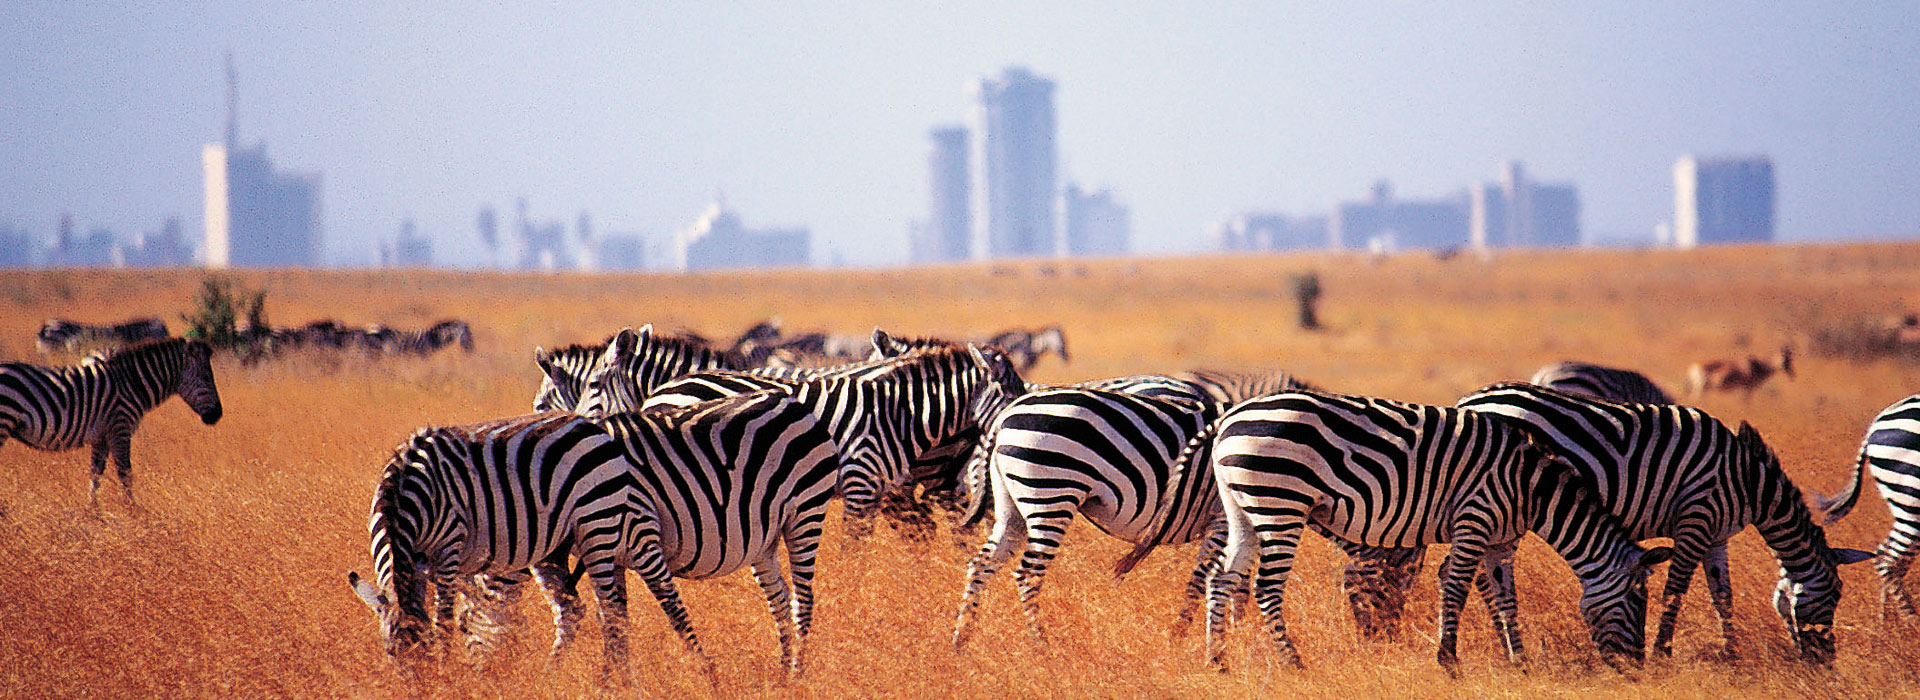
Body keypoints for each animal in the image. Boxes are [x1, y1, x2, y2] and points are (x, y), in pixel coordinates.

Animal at [0, 337, 224, 506]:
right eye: (206, 377)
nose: (218, 415)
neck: (132, 384)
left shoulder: (102, 437)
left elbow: (95, 476)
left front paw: (94, 514)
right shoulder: (120, 428)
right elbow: (126, 474)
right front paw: (133, 512)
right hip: (3, 423)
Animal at [1121, 387, 1674, 671]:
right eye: (1638, 599)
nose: (1635, 670)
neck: (1531, 490)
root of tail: (1230, 416)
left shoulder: (1500, 543)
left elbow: (1505, 598)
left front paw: (1518, 662)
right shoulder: (1473, 519)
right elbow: (1455, 586)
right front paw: (1447, 661)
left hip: (1241, 507)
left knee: (1223, 579)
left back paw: (1217, 661)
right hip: (1280, 502)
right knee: (1265, 587)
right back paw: (1294, 663)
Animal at [1459, 381, 1866, 659]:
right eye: (1835, 595)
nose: (1825, 664)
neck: (1749, 481)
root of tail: (1469, 400)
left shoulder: (1717, 536)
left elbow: (1723, 596)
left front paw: (1732, 656)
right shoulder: (1695, 519)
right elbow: (1676, 590)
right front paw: (1661, 654)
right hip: (1502, 504)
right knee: (1481, 576)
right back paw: (1509, 650)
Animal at [1820, 393, 1920, 621]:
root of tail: (1877, 421)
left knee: (1887, 556)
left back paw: (1887, 623)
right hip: (1912, 498)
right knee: (1888, 560)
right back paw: (1910, 624)